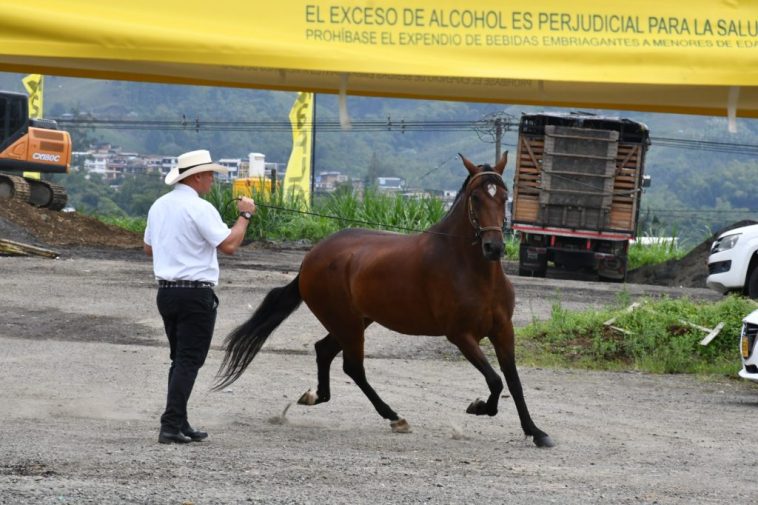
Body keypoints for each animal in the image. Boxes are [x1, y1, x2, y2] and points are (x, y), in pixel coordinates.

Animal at [217, 153, 556, 444]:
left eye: (503, 197)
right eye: (476, 197)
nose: (494, 247)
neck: (472, 271)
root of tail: (310, 259)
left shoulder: (503, 331)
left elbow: (513, 381)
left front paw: (537, 432)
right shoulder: (460, 335)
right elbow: (496, 380)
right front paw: (479, 406)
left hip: (355, 321)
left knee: (324, 351)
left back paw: (316, 397)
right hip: (347, 323)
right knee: (352, 367)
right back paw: (394, 417)